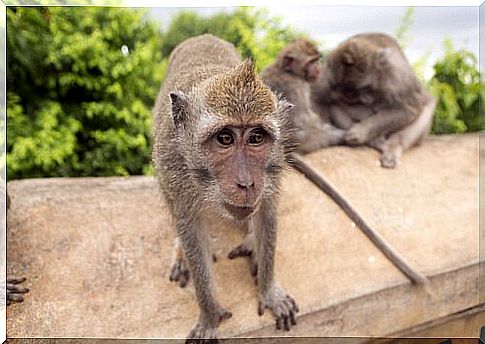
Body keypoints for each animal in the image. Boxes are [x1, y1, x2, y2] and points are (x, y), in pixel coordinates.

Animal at [153, 34, 298, 342]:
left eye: (256, 137)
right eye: (224, 138)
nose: (246, 182)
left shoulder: (274, 167)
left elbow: (267, 213)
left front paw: (270, 291)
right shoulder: (170, 166)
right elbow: (190, 229)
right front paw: (210, 316)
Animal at [312, 32, 436, 168]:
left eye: (364, 88)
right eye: (344, 90)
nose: (349, 95)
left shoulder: (396, 74)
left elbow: (407, 109)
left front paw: (361, 132)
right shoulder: (328, 73)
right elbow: (317, 99)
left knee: (425, 107)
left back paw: (393, 146)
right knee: (333, 104)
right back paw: (374, 140)